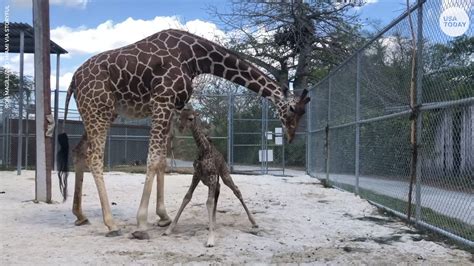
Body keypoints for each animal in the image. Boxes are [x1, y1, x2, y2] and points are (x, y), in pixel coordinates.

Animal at [164, 107, 260, 246]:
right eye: (179, 117)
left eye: (191, 118)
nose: (181, 127)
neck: (203, 149)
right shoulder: (197, 175)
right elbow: (187, 197)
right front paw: (169, 229)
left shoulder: (211, 175)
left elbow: (208, 202)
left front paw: (210, 239)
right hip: (210, 180)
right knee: (218, 191)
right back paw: (213, 223)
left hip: (224, 175)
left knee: (236, 190)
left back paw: (254, 222)